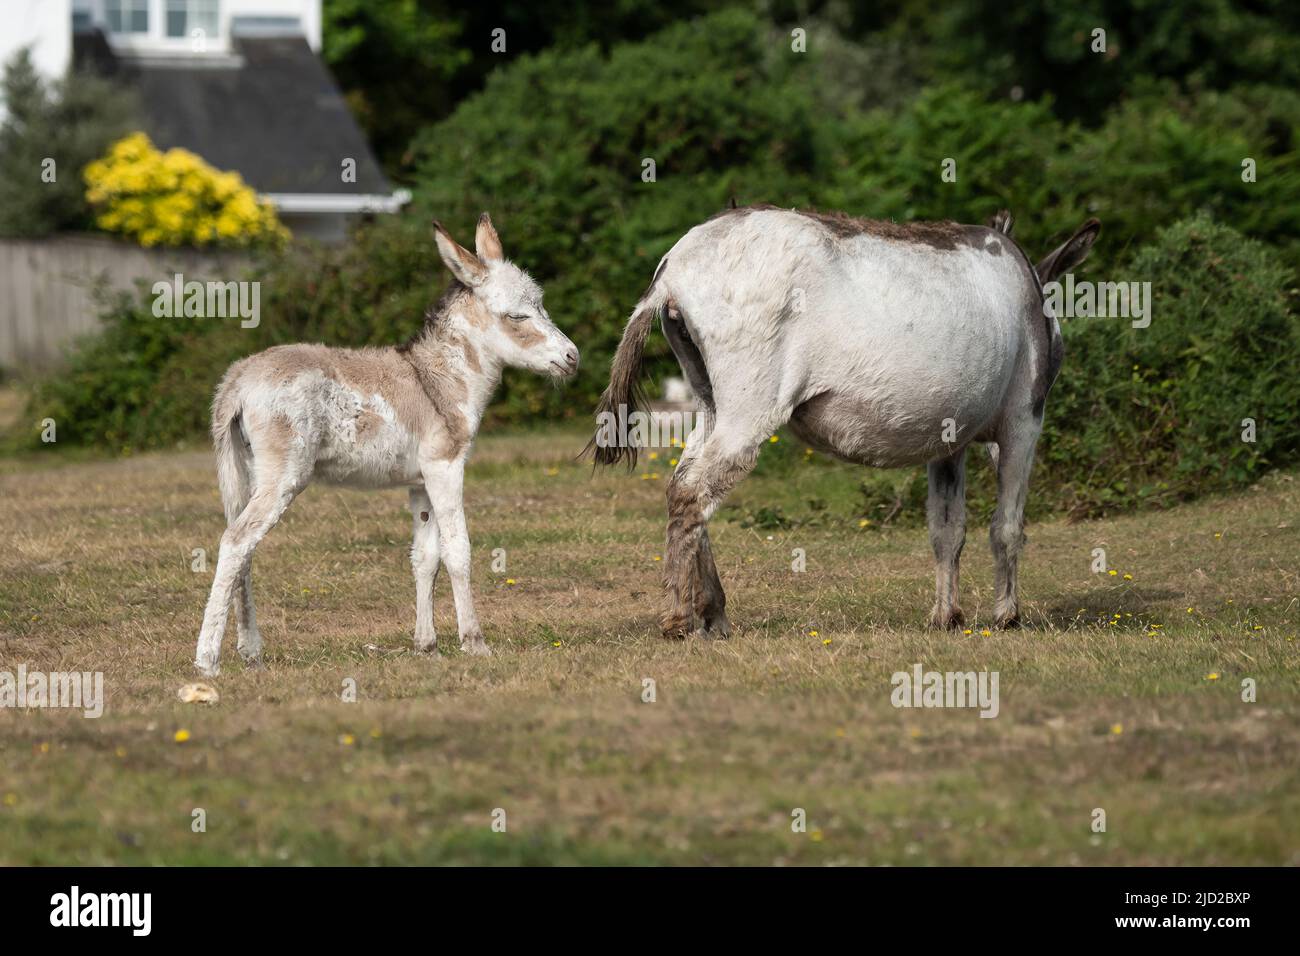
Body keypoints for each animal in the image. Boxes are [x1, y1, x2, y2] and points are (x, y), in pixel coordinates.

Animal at [193, 218, 579, 681]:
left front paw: (427, 646)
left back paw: (250, 652)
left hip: (249, 472)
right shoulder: (446, 467)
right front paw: (474, 642)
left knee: (243, 550)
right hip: (283, 476)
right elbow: (458, 550)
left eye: (541, 305)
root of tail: (238, 377)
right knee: (235, 542)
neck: (440, 379)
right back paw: (207, 661)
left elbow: (425, 558)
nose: (573, 357)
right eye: (517, 315)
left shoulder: (420, 482)